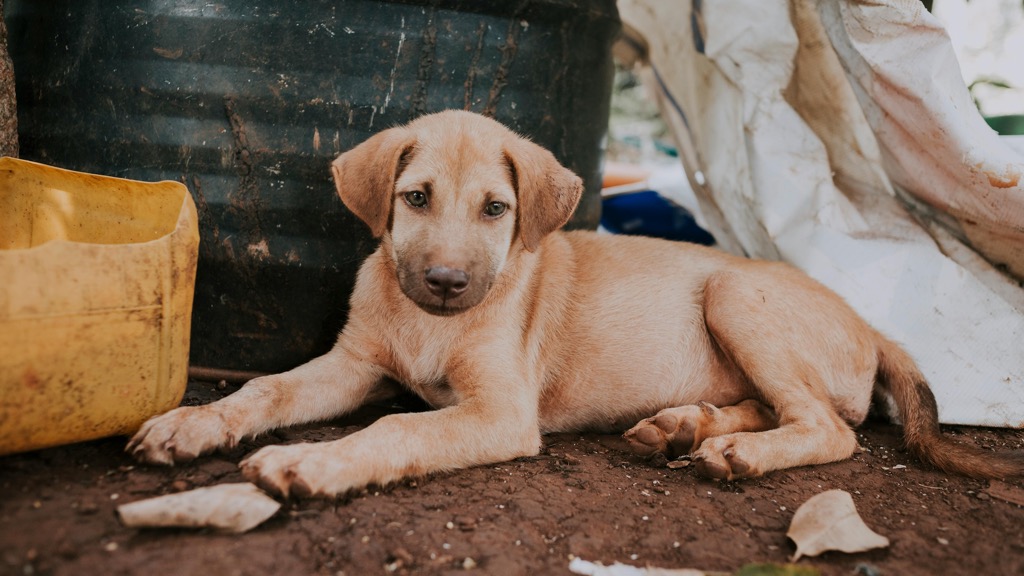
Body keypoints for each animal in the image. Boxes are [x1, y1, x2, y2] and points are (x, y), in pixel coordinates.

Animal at [128, 109, 1024, 496]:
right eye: (415, 198)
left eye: (496, 210)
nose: (446, 281)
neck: (428, 325)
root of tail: (872, 325)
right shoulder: (353, 366)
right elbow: (264, 389)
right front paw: (190, 423)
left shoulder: (499, 410)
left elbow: (395, 429)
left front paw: (310, 463)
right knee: (781, 407)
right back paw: (685, 426)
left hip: (736, 290)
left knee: (830, 429)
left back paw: (734, 452)